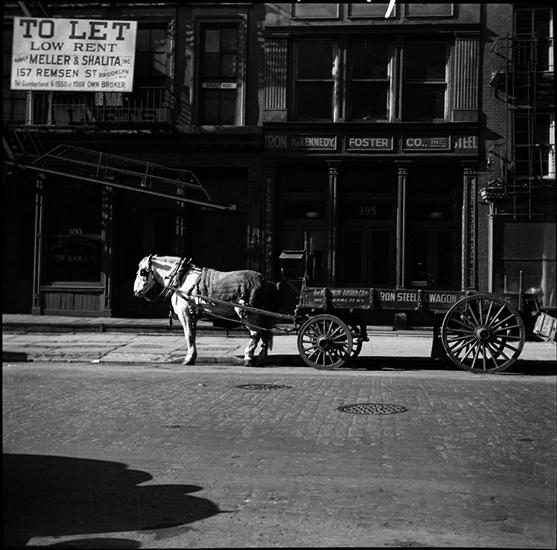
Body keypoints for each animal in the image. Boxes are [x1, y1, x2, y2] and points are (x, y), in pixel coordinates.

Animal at [133, 254, 280, 366]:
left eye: (142, 271)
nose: (136, 291)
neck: (181, 279)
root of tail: (265, 281)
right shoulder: (192, 316)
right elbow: (192, 335)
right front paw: (192, 356)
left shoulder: (186, 315)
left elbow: (189, 335)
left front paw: (188, 358)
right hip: (259, 316)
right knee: (265, 334)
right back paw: (261, 358)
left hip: (248, 313)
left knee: (256, 333)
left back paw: (248, 358)